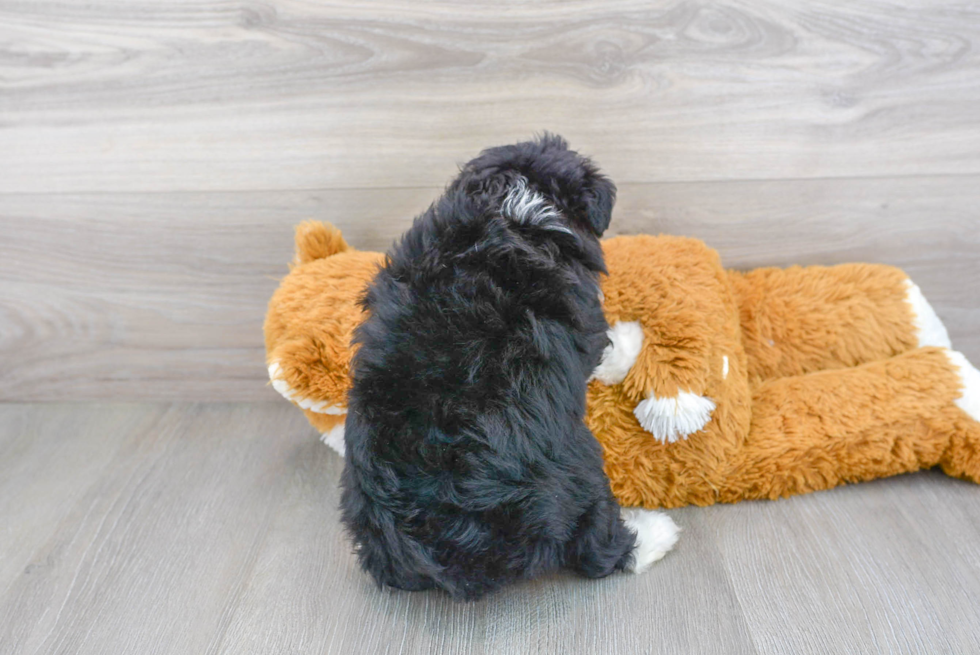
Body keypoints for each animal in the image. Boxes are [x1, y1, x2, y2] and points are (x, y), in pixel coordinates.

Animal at [340, 133, 676, 600]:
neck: (512, 205)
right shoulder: (585, 321)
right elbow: (604, 348)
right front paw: (631, 338)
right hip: (579, 468)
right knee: (598, 546)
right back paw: (656, 534)